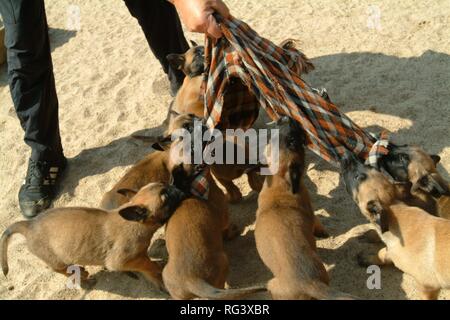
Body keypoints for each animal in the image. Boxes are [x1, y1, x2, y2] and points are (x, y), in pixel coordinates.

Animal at [0, 182, 185, 290]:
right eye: (165, 197)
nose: (179, 188)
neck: (136, 223)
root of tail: (29, 225)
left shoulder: (137, 257)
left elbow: (146, 266)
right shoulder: (122, 260)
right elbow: (149, 265)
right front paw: (157, 270)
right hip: (56, 260)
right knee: (61, 270)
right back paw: (83, 278)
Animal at [253, 117, 352, 300]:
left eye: (274, 136)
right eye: (293, 142)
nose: (285, 118)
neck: (280, 181)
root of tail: (308, 283)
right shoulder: (311, 212)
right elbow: (317, 221)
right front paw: (322, 232)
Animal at [342, 155, 450, 300]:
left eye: (357, 177)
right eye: (370, 167)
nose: (347, 156)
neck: (395, 209)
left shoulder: (428, 287)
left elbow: (383, 253)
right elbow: (382, 253)